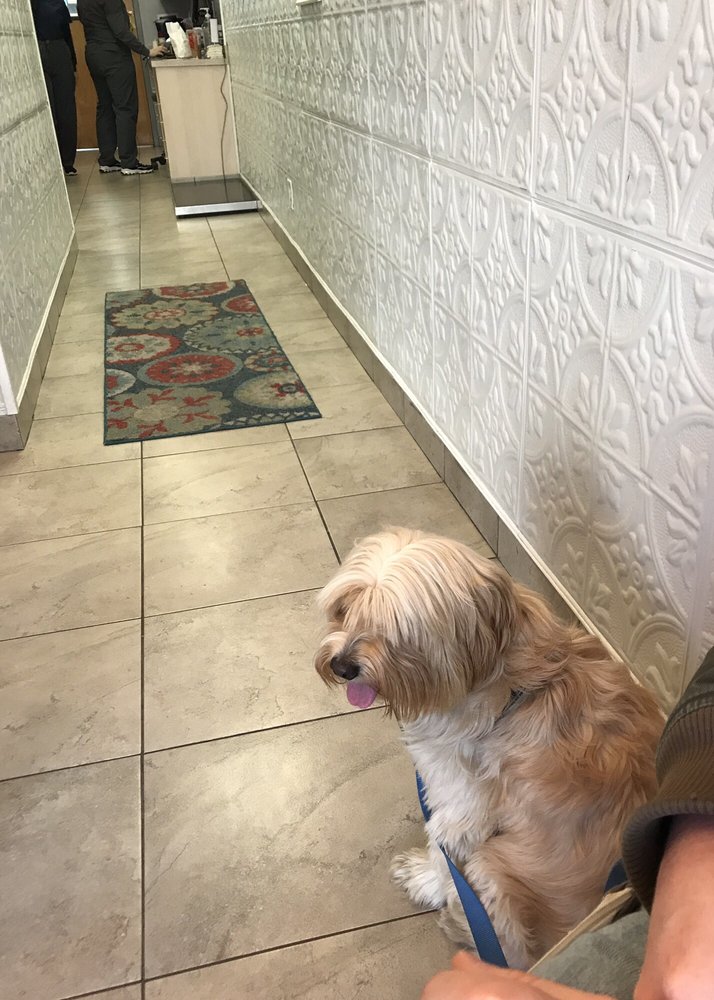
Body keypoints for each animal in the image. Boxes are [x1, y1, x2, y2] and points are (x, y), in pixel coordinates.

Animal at [314, 528, 663, 968]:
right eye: (344, 608)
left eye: (395, 630)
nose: (342, 666)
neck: (510, 685)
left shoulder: (464, 805)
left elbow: (442, 847)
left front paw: (424, 878)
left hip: (492, 868)